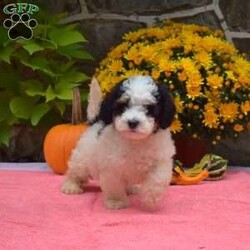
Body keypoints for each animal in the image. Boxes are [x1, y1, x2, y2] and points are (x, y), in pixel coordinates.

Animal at [61, 75, 176, 209]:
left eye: (149, 109)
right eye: (123, 106)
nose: (133, 122)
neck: (135, 141)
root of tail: (96, 121)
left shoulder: (161, 159)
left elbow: (158, 178)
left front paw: (151, 198)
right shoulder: (111, 166)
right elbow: (114, 185)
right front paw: (116, 201)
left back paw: (131, 188)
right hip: (82, 158)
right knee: (75, 171)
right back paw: (71, 186)